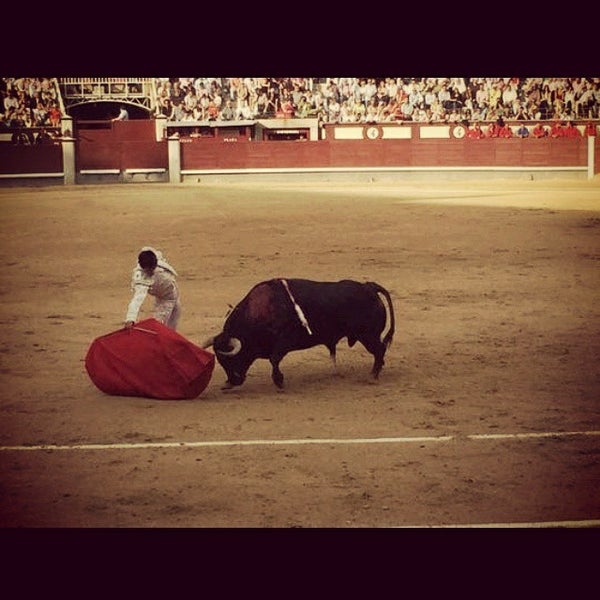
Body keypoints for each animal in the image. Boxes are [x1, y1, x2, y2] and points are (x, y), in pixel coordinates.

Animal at [204, 278, 396, 390]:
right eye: (220, 361)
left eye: (230, 359)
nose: (229, 383)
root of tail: (369, 287)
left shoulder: (284, 341)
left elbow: (274, 359)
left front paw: (279, 381)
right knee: (380, 352)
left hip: (368, 335)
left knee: (379, 350)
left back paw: (373, 376)